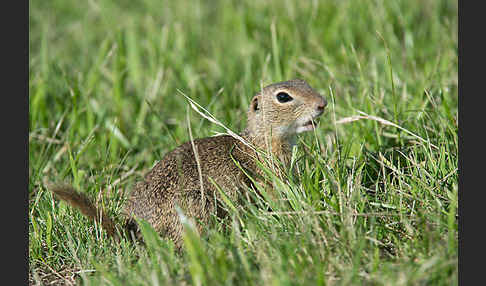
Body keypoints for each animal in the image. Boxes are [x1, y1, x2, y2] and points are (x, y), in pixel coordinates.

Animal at [50, 79, 326, 249]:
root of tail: (133, 231)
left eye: (304, 82)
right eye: (283, 97)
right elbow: (276, 197)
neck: (258, 141)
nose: (322, 104)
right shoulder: (266, 177)